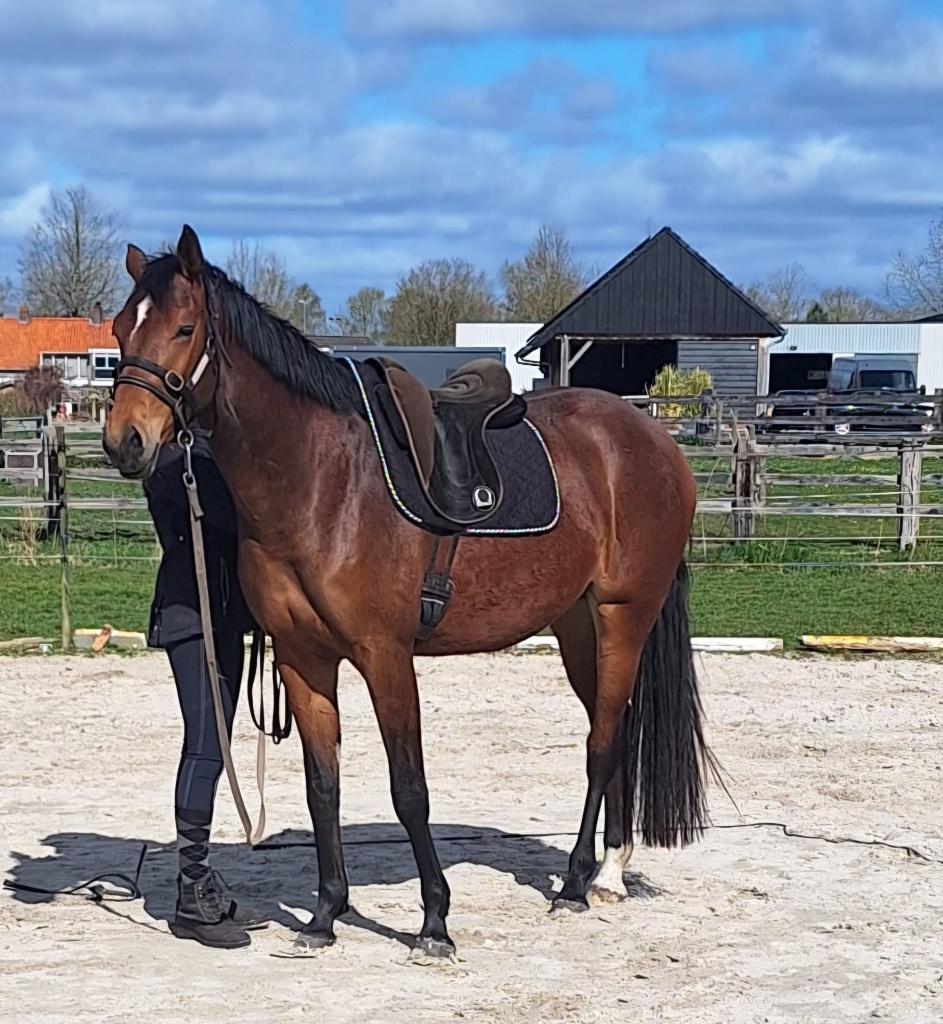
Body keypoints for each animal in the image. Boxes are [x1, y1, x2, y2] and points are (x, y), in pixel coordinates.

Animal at [103, 225, 716, 957]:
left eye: (185, 327)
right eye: (120, 329)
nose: (124, 441)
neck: (322, 480)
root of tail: (652, 438)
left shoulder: (385, 656)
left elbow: (409, 789)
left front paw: (434, 923)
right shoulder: (302, 659)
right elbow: (323, 787)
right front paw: (323, 916)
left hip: (625, 616)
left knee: (600, 744)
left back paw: (575, 883)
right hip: (577, 627)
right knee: (614, 731)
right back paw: (609, 874)